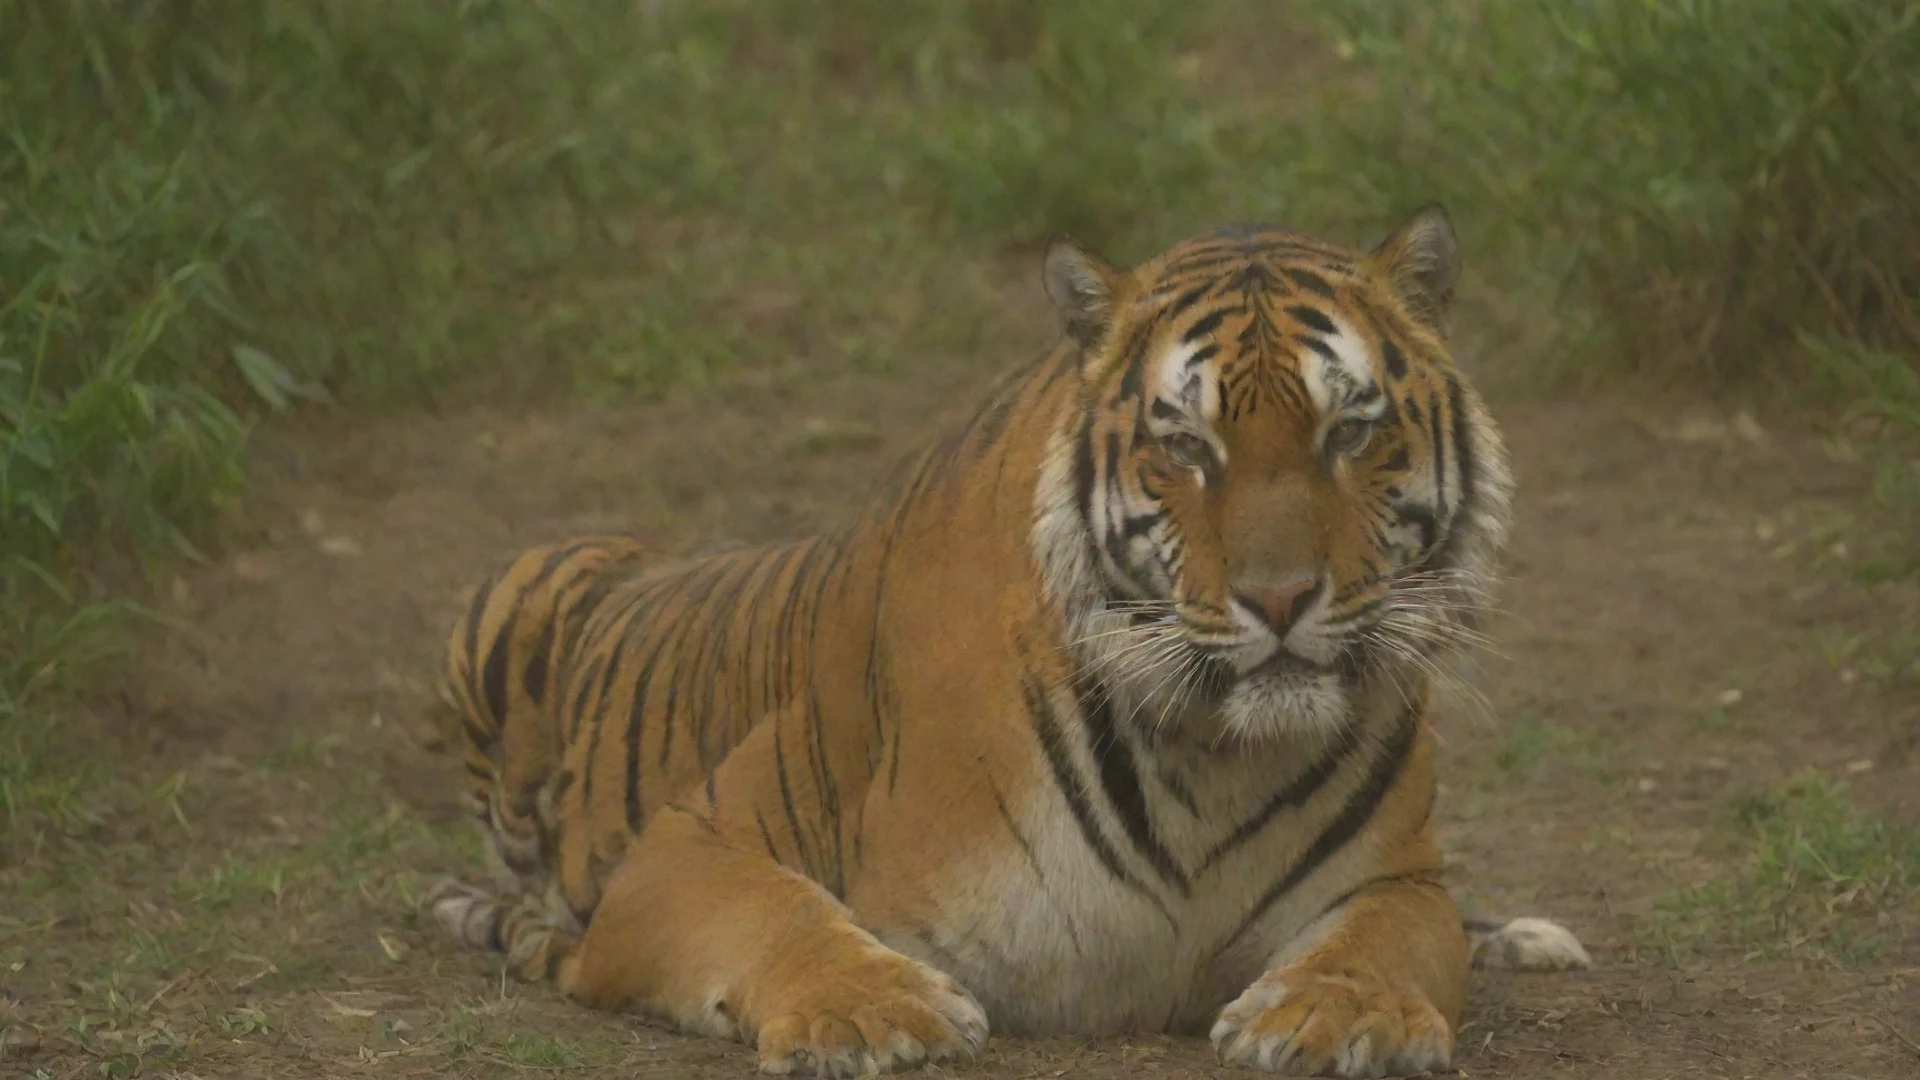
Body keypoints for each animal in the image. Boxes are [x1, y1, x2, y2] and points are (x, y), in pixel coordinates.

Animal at [419, 204, 1593, 1079]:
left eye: (1349, 430)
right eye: (1186, 445)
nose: (1280, 598)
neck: (1211, 756)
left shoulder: (1395, 880)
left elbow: (1389, 938)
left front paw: (1341, 1014)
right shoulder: (690, 840)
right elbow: (779, 913)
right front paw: (870, 1011)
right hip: (511, 588)